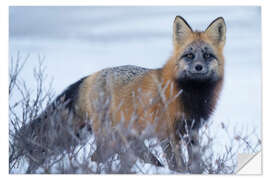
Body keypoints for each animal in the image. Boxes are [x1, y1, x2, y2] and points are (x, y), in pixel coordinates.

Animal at [21, 16, 226, 172]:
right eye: (189, 55)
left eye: (207, 55)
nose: (198, 67)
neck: (190, 95)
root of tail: (93, 75)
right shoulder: (167, 133)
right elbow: (177, 165)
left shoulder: (192, 130)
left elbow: (196, 163)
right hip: (111, 140)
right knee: (97, 158)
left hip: (129, 141)